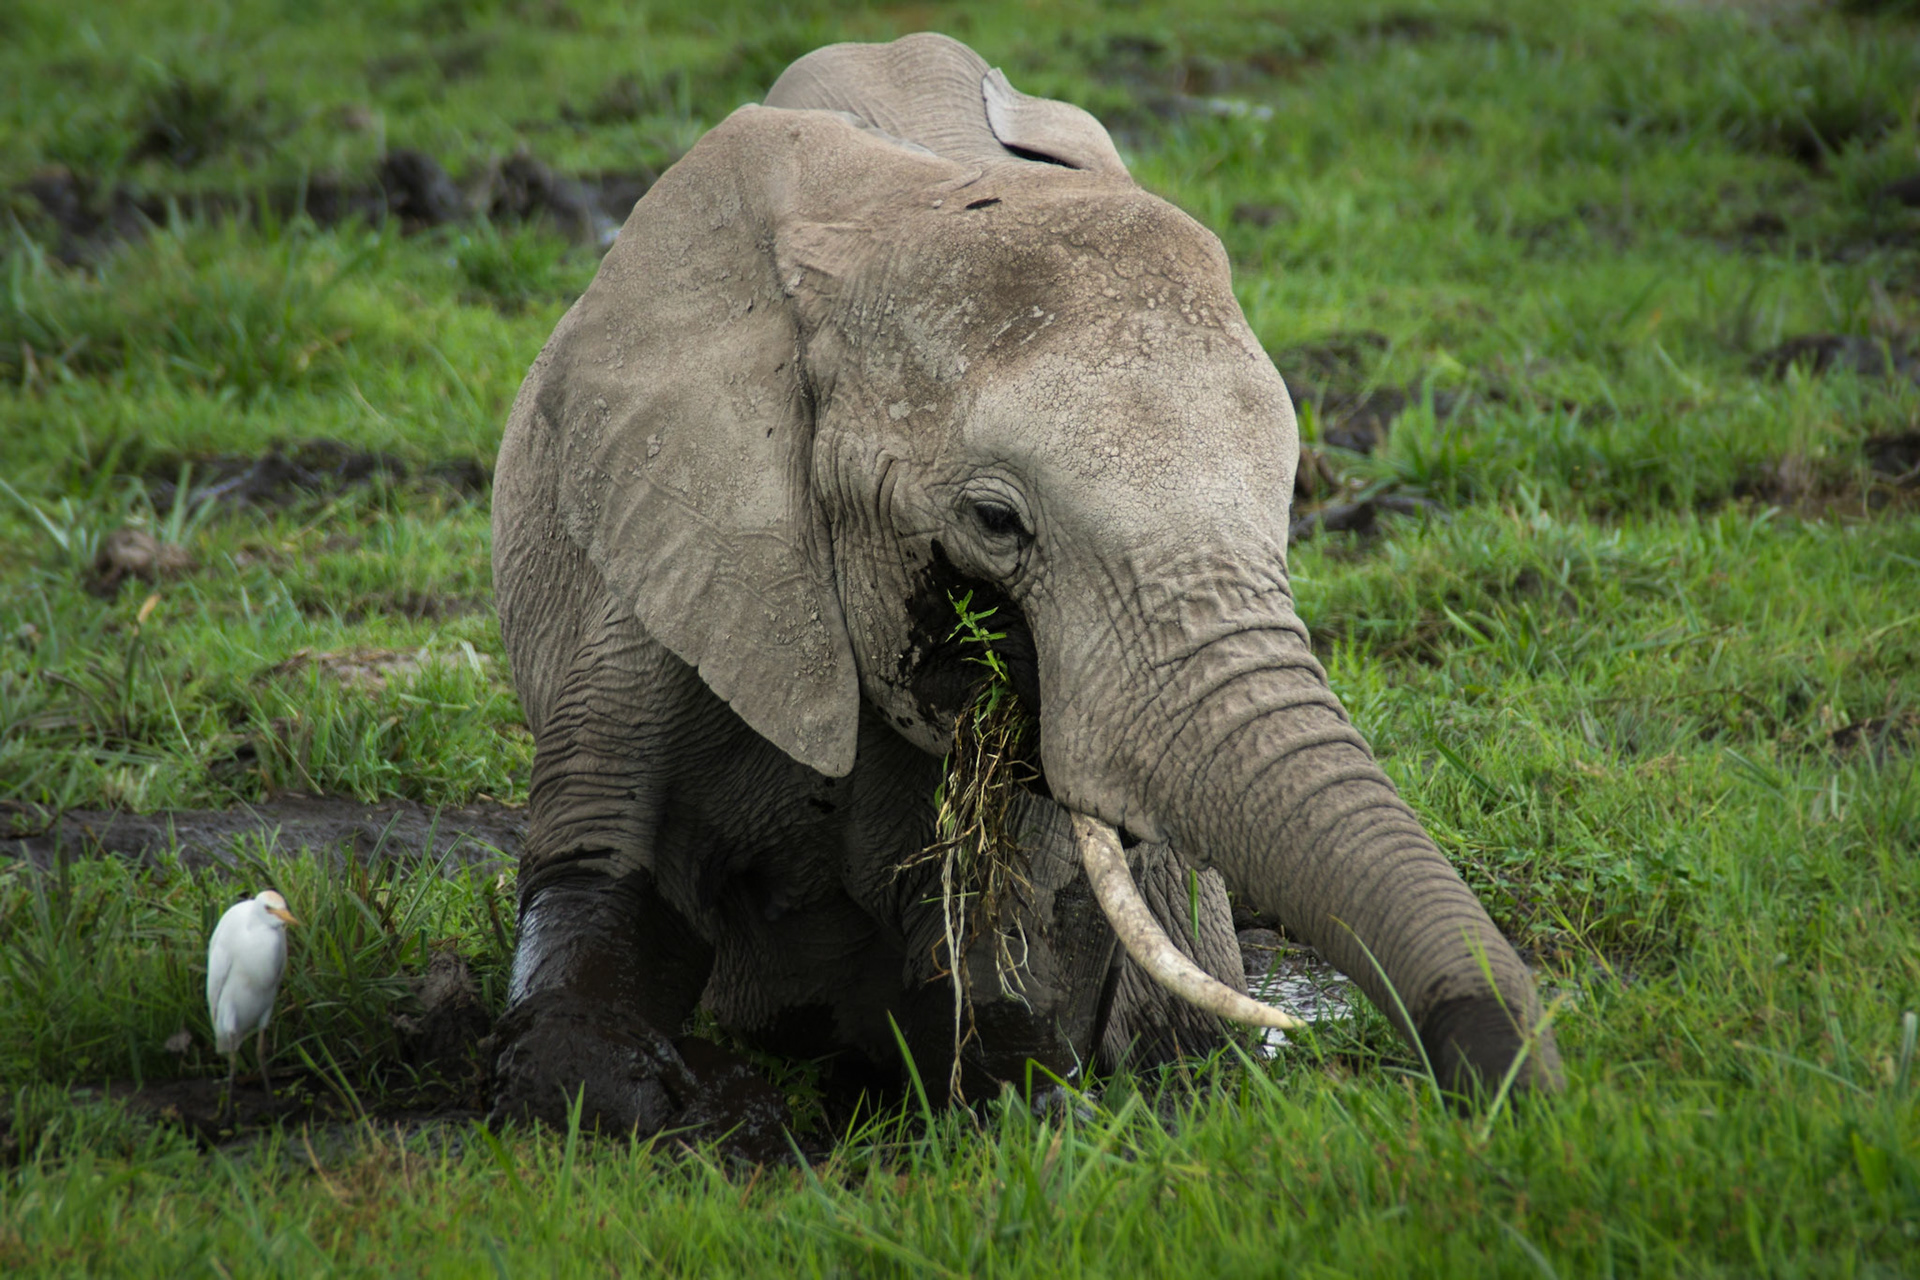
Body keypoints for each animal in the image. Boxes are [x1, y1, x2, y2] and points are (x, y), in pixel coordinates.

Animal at [488, 33, 1561, 1147]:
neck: (888, 207)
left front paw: (1023, 1098)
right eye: (996, 522)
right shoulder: (664, 541)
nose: (1522, 1105)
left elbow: (978, 960)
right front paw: (668, 1102)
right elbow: (596, 912)